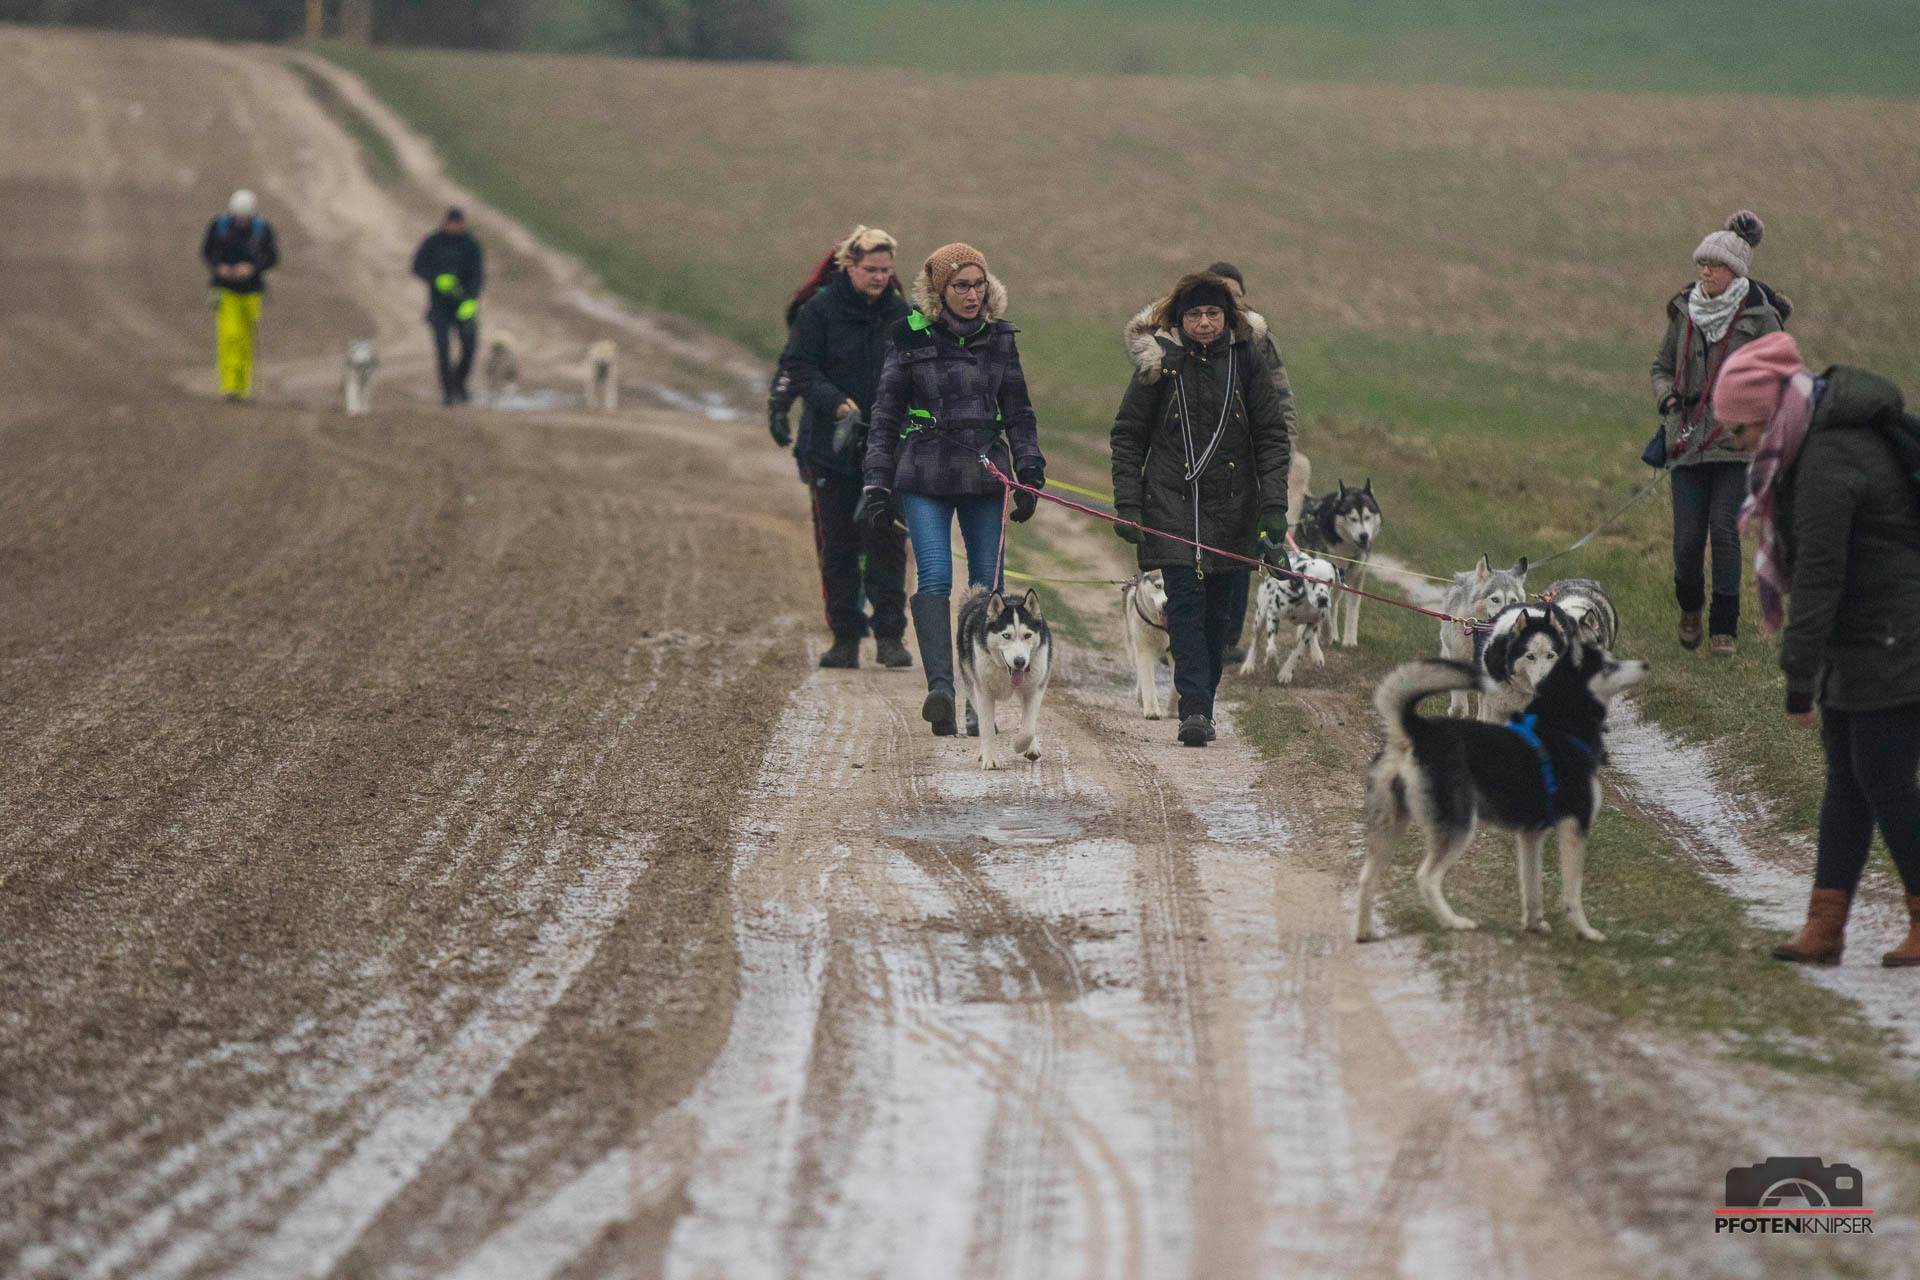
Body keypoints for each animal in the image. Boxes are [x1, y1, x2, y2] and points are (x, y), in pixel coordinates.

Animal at [955, 587, 1053, 770]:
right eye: (1006, 636)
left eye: (1027, 635)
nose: (1020, 661)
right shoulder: (984, 692)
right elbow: (987, 728)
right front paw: (990, 759)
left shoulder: (1035, 688)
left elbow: (1028, 728)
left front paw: (1020, 745)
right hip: (971, 685)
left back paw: (1032, 746)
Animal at [1121, 570, 1172, 719]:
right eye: (1158, 586)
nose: (1166, 604)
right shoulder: (1145, 650)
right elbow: (1147, 680)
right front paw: (1152, 710)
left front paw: (1174, 710)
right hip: (1133, 647)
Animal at [1241, 549, 1338, 685]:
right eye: (1311, 580)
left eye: (1330, 581)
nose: (1322, 600)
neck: (1304, 601)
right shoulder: (1273, 614)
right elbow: (1271, 649)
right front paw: (1271, 663)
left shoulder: (1312, 624)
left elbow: (1298, 652)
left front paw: (1286, 673)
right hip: (1260, 617)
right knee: (1256, 640)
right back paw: (1248, 665)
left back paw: (1317, 654)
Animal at [1293, 479, 1381, 648]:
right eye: (1352, 518)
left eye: (1367, 517)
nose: (1364, 536)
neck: (1346, 550)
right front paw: (1324, 634)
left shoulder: (1357, 576)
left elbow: (1353, 610)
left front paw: (1349, 640)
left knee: (1334, 603)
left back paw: (1333, 634)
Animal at [1355, 645, 1647, 944]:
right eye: (1609, 665)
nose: (1645, 665)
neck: (1564, 728)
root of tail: (1415, 730)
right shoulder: (1575, 826)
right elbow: (1572, 893)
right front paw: (1586, 932)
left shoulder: (1530, 835)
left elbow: (1532, 887)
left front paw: (1534, 925)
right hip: (1459, 826)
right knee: (1427, 878)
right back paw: (1454, 921)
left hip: (1389, 827)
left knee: (1366, 877)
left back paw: (1365, 932)